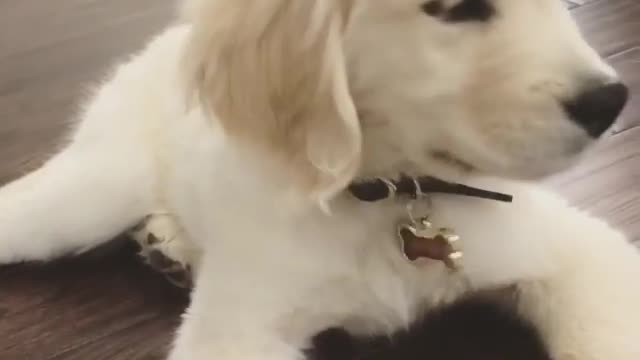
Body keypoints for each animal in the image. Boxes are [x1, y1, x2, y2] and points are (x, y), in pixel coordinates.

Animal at [1, 0, 640, 360]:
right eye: (458, 6)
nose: (610, 102)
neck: (391, 194)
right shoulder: (238, 331)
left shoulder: (578, 254)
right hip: (93, 191)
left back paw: (170, 245)